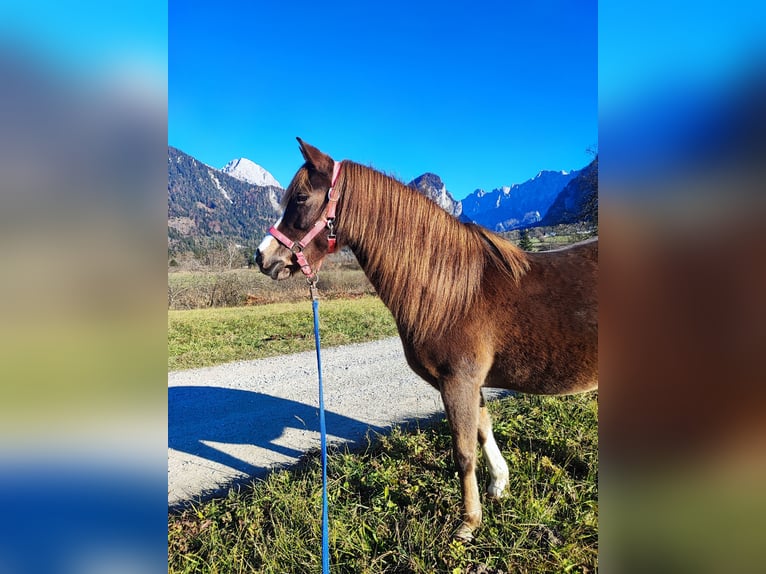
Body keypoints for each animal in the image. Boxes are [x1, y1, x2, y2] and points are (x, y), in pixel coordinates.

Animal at [255, 138, 596, 540]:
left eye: (301, 198)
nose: (262, 257)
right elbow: (483, 429)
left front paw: (468, 522)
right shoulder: (469, 383)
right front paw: (498, 484)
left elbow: (464, 451)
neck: (454, 292)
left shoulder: (458, 382)